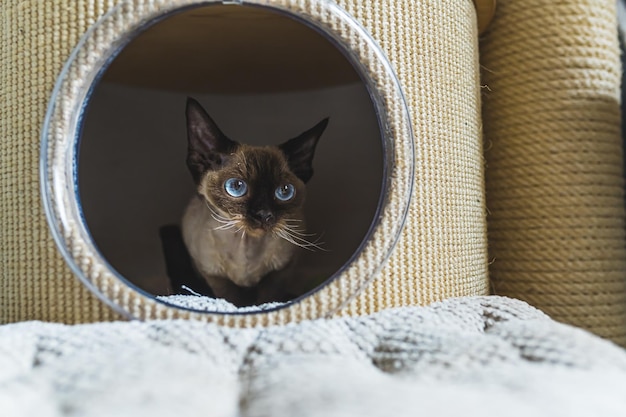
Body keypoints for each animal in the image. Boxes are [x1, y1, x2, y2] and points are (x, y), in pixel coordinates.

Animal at [179, 97, 326, 306]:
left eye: (284, 191)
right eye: (236, 187)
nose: (264, 214)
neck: (246, 247)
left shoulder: (281, 271)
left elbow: (268, 298)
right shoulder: (213, 275)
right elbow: (230, 298)